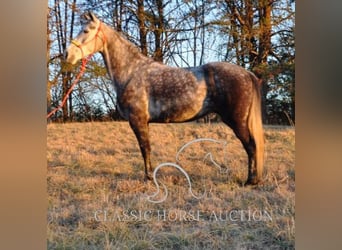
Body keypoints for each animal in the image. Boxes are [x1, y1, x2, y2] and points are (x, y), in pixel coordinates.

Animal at [66, 11, 264, 185]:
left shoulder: (137, 120)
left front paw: (149, 178)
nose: (68, 55)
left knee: (251, 146)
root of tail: (247, 74)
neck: (131, 72)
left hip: (237, 121)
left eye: (86, 30)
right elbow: (146, 149)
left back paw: (250, 181)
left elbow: (145, 148)